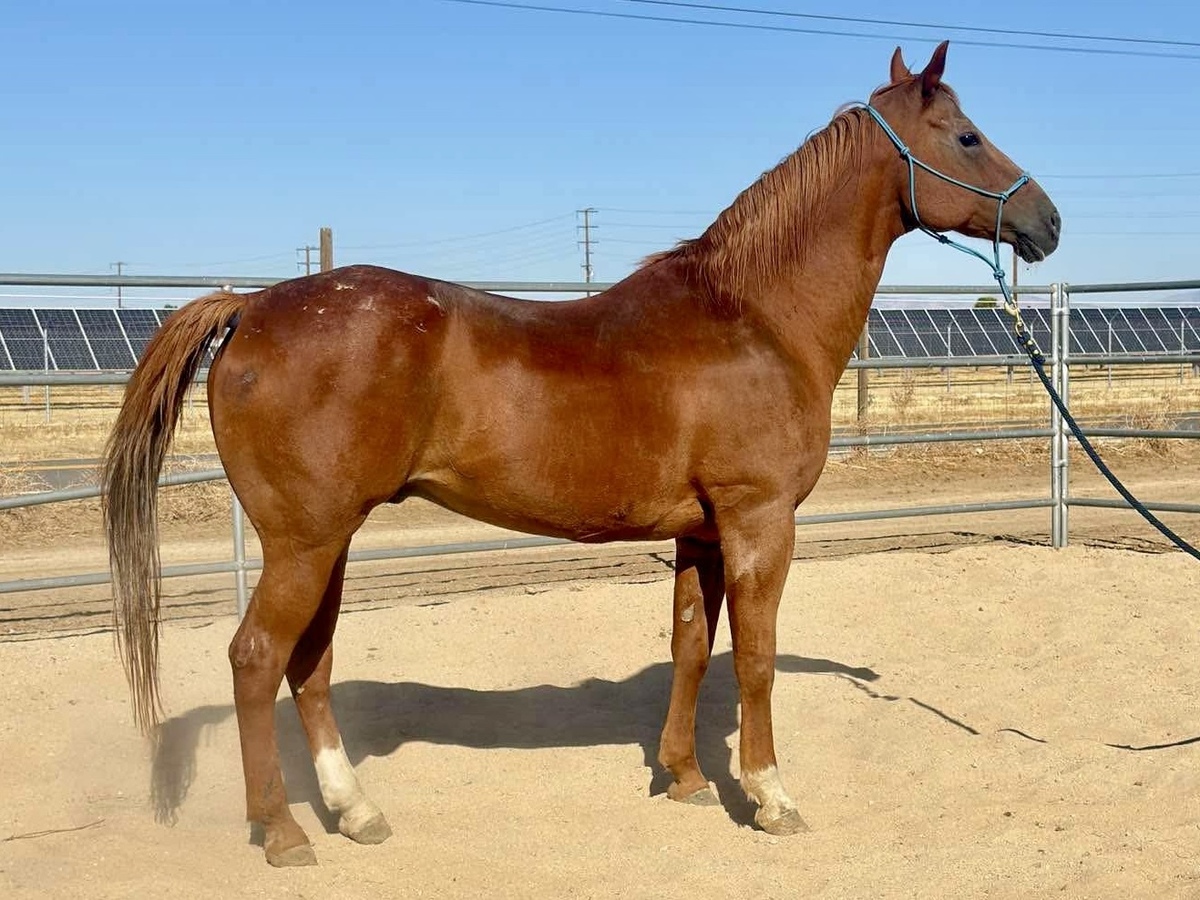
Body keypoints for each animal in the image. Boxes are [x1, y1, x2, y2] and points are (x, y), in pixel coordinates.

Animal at [102, 40, 1060, 867]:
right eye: (966, 136)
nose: (1047, 220)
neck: (753, 316)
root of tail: (252, 307)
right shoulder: (758, 522)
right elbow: (753, 658)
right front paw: (770, 797)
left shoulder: (701, 533)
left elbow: (689, 646)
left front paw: (684, 779)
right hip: (303, 542)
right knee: (257, 660)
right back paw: (283, 832)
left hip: (325, 540)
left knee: (310, 665)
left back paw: (356, 812)